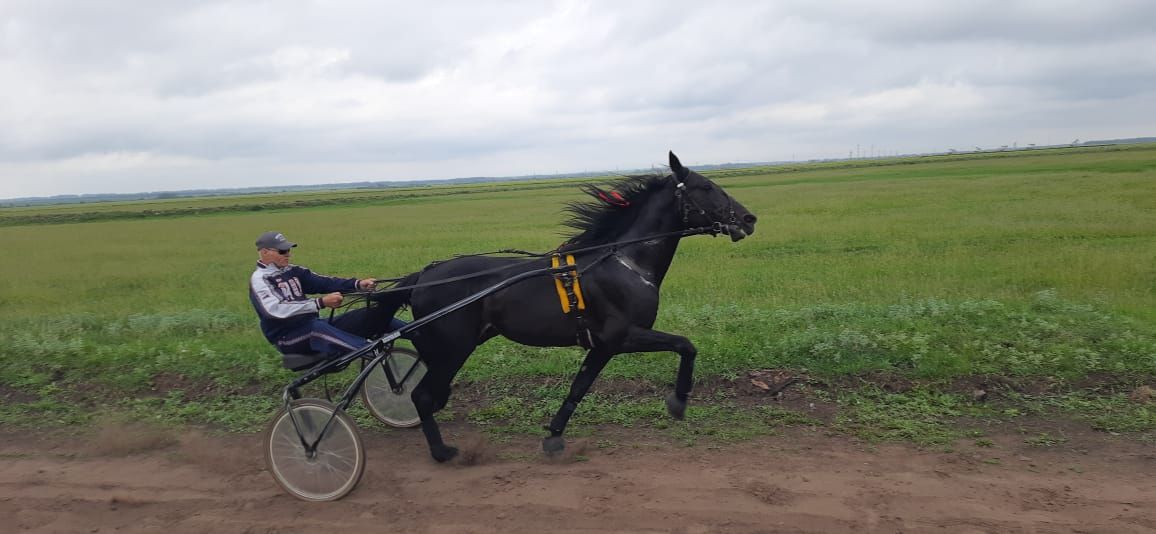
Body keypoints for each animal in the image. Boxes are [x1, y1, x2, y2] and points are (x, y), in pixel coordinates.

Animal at [376, 152, 758, 460]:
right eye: (705, 186)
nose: (749, 218)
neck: (624, 262)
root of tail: (423, 276)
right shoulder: (621, 337)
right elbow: (685, 345)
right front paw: (678, 402)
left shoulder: (602, 345)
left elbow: (579, 387)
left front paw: (554, 435)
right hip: (452, 348)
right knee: (423, 396)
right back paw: (441, 451)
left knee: (431, 394)